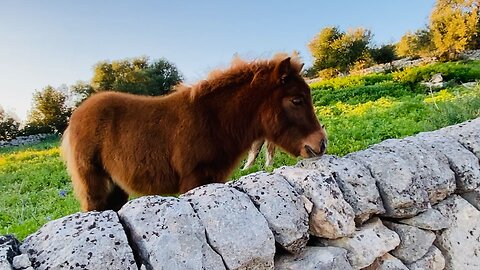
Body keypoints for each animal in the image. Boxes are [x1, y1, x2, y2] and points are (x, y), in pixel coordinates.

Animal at [61, 53, 326, 212]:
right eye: (296, 100)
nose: (321, 144)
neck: (214, 121)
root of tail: (76, 116)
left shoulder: (215, 178)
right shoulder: (193, 179)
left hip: (116, 189)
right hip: (94, 189)